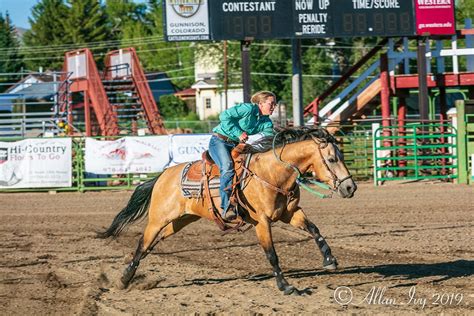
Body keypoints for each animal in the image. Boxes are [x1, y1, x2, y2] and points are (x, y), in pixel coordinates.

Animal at [99, 127, 356, 296]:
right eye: (332, 159)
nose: (350, 187)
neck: (272, 173)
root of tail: (163, 176)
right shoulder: (262, 222)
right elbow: (272, 254)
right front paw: (286, 286)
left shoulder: (289, 213)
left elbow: (314, 229)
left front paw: (330, 259)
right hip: (158, 219)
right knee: (143, 243)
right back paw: (124, 279)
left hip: (180, 221)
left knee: (151, 244)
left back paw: (129, 271)